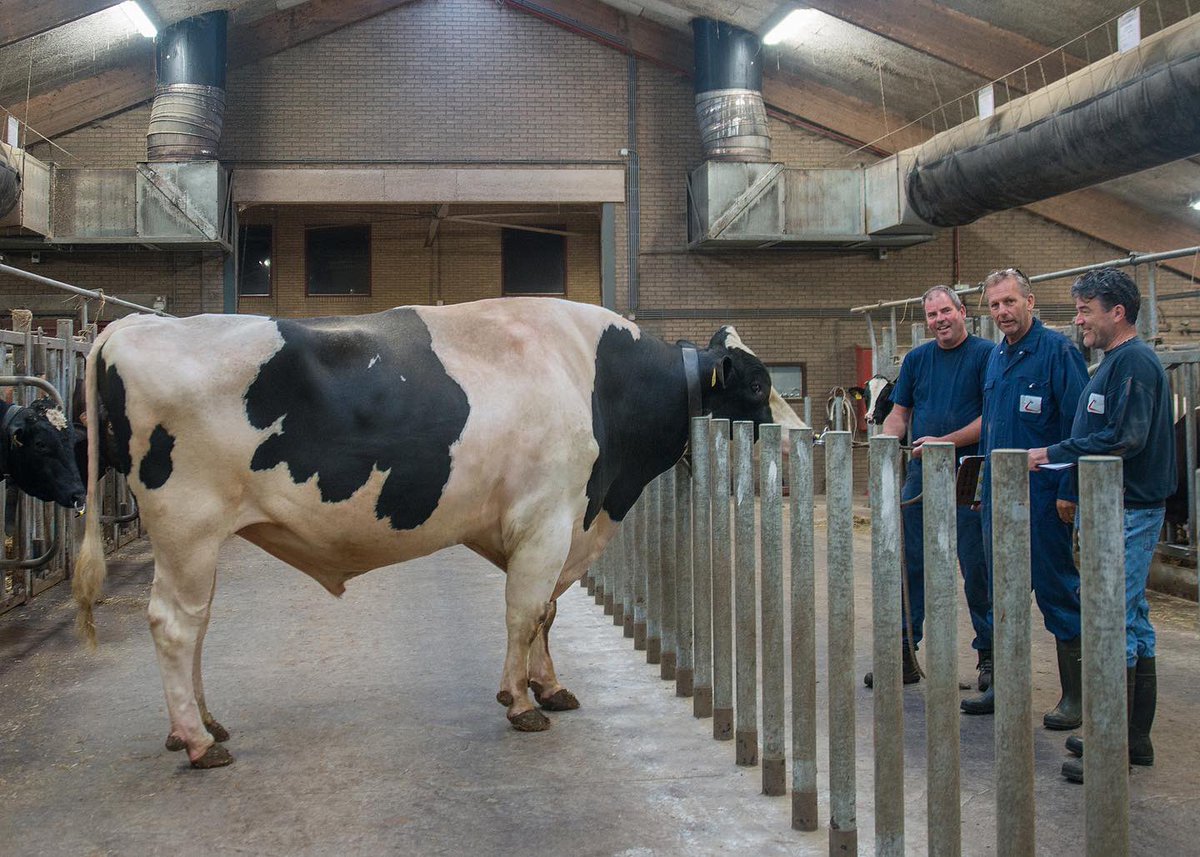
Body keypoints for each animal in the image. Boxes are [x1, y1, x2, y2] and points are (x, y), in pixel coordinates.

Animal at [71, 298, 806, 768]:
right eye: (757, 385)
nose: (800, 441)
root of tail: (134, 326)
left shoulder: (562, 525)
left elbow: (547, 613)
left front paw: (550, 686)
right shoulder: (547, 516)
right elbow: (524, 611)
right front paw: (520, 701)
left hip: (195, 538)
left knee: (195, 624)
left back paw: (203, 723)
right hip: (186, 525)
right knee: (175, 623)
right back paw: (198, 741)